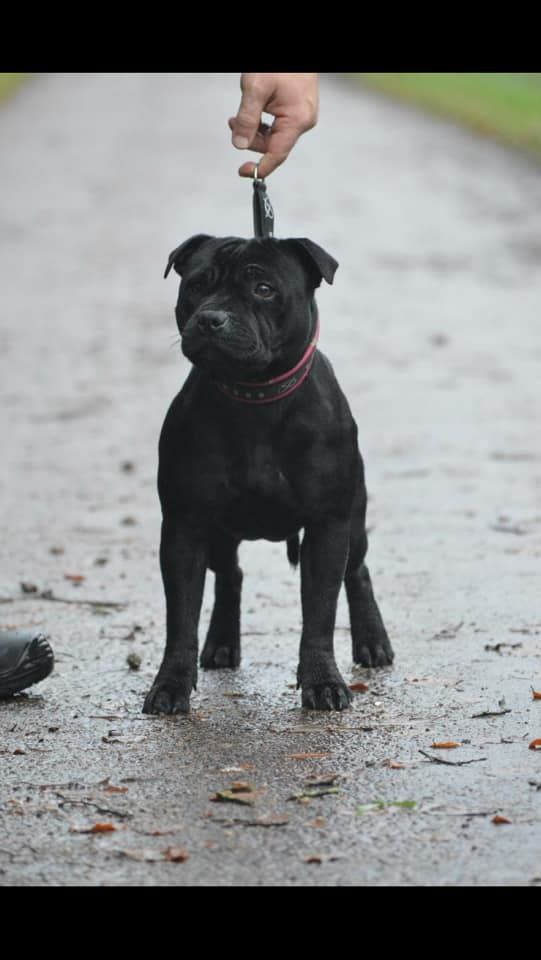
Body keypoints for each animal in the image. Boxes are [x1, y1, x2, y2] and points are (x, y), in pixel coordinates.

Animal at [141, 234, 390, 712]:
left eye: (263, 289)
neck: (254, 396)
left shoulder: (327, 527)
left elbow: (320, 613)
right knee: (230, 575)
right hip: (218, 533)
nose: (212, 318)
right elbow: (180, 618)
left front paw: (323, 682)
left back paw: (373, 641)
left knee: (358, 571)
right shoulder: (184, 527)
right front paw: (170, 685)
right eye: (196, 286)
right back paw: (221, 642)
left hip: (354, 520)